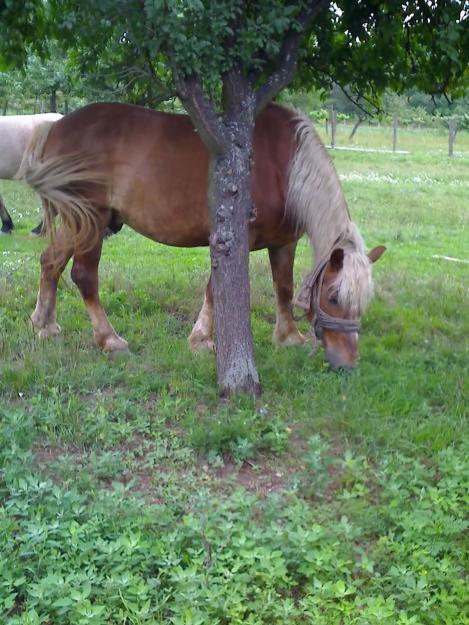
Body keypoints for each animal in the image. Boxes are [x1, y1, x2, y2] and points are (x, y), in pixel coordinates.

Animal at [18, 101, 384, 366]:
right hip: (92, 219)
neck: (285, 165)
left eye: (363, 302)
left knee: (50, 262)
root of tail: (56, 128)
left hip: (76, 220)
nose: (349, 360)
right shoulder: (234, 238)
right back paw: (109, 339)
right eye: (334, 297)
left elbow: (283, 288)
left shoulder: (283, 242)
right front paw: (202, 340)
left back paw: (44, 324)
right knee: (83, 275)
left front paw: (289, 337)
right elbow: (213, 290)